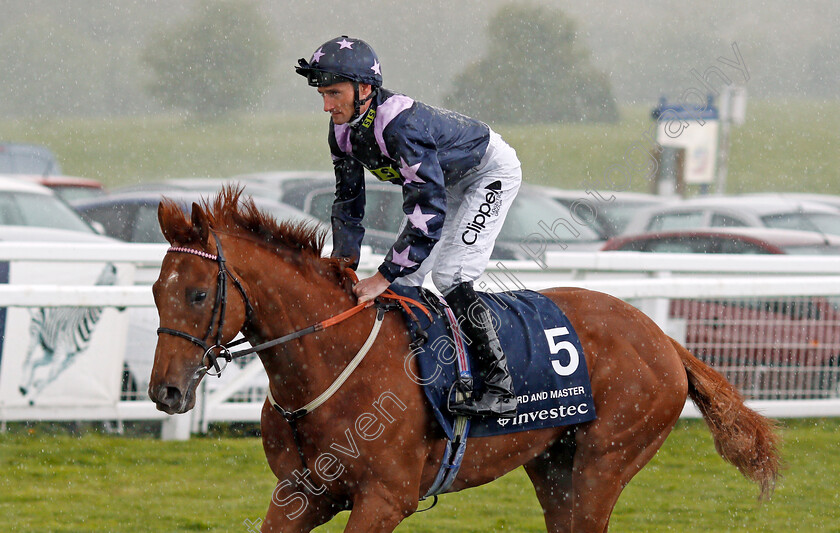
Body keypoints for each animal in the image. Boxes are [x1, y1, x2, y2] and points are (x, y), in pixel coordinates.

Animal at [146, 188, 780, 532]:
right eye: (156, 290)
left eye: (198, 294)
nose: (165, 391)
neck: (332, 364)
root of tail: (663, 340)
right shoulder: (300, 495)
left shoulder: (384, 500)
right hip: (554, 466)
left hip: (608, 461)